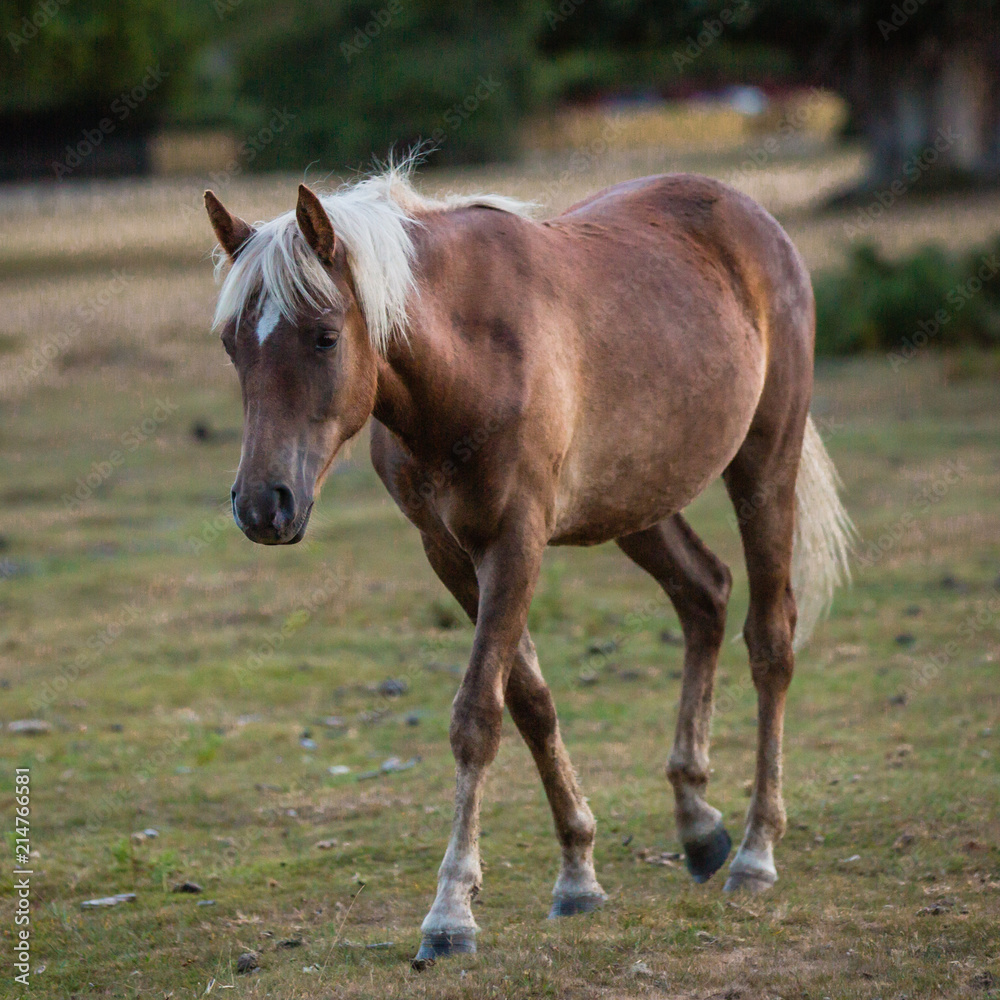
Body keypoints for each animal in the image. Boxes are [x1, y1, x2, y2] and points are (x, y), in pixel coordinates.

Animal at [203, 161, 853, 967]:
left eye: (324, 337)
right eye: (232, 344)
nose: (264, 505)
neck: (467, 360)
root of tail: (750, 214)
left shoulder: (515, 541)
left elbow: (477, 717)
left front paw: (451, 911)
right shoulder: (450, 553)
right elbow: (530, 703)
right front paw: (578, 874)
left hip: (764, 464)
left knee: (770, 640)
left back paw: (757, 851)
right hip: (637, 500)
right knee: (705, 593)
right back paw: (698, 823)